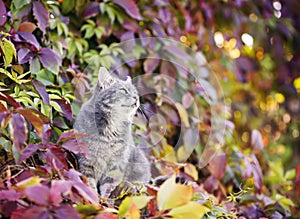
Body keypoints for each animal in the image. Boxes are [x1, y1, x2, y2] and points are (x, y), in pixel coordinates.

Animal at [74, 66, 151, 197]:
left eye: (135, 93)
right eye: (123, 90)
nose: (137, 98)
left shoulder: (116, 164)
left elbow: (108, 186)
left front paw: (105, 200)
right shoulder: (87, 159)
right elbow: (89, 182)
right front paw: (93, 197)